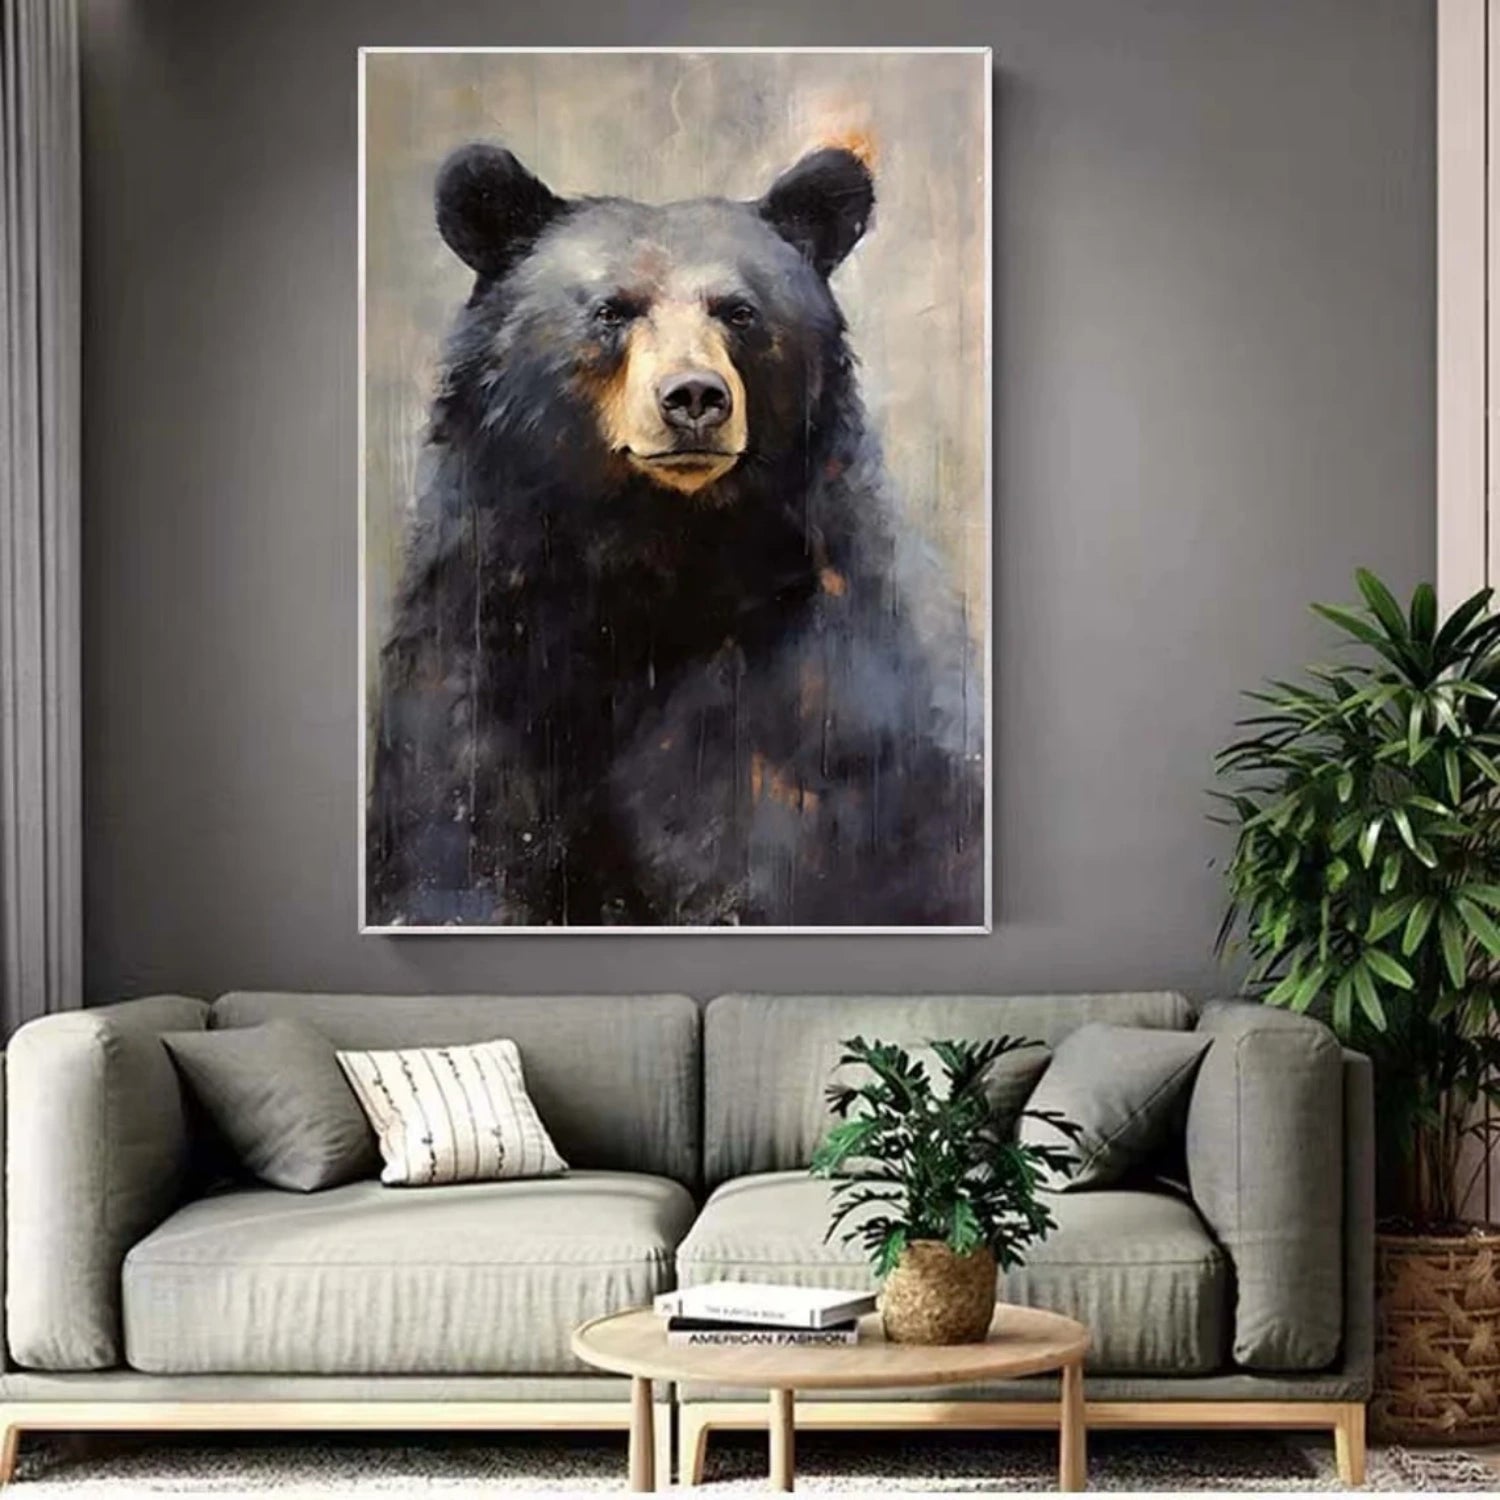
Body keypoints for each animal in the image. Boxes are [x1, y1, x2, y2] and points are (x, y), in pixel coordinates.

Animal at [366, 142, 985, 928]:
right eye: (611, 310)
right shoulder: (478, 641)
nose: (694, 396)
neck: (654, 558)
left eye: (740, 312)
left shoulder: (824, 697)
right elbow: (453, 840)